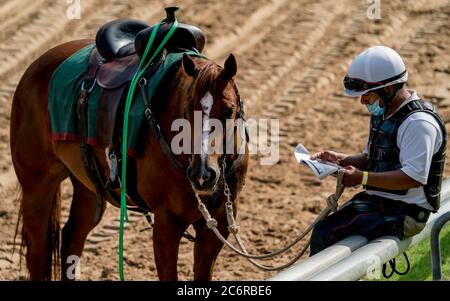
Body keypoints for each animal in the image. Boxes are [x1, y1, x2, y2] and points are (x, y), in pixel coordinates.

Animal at [9, 39, 250, 278]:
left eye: (229, 110)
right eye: (188, 110)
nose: (202, 174)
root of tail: (34, 67)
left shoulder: (218, 223)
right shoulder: (166, 223)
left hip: (88, 187)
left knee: (71, 240)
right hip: (37, 185)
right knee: (38, 252)